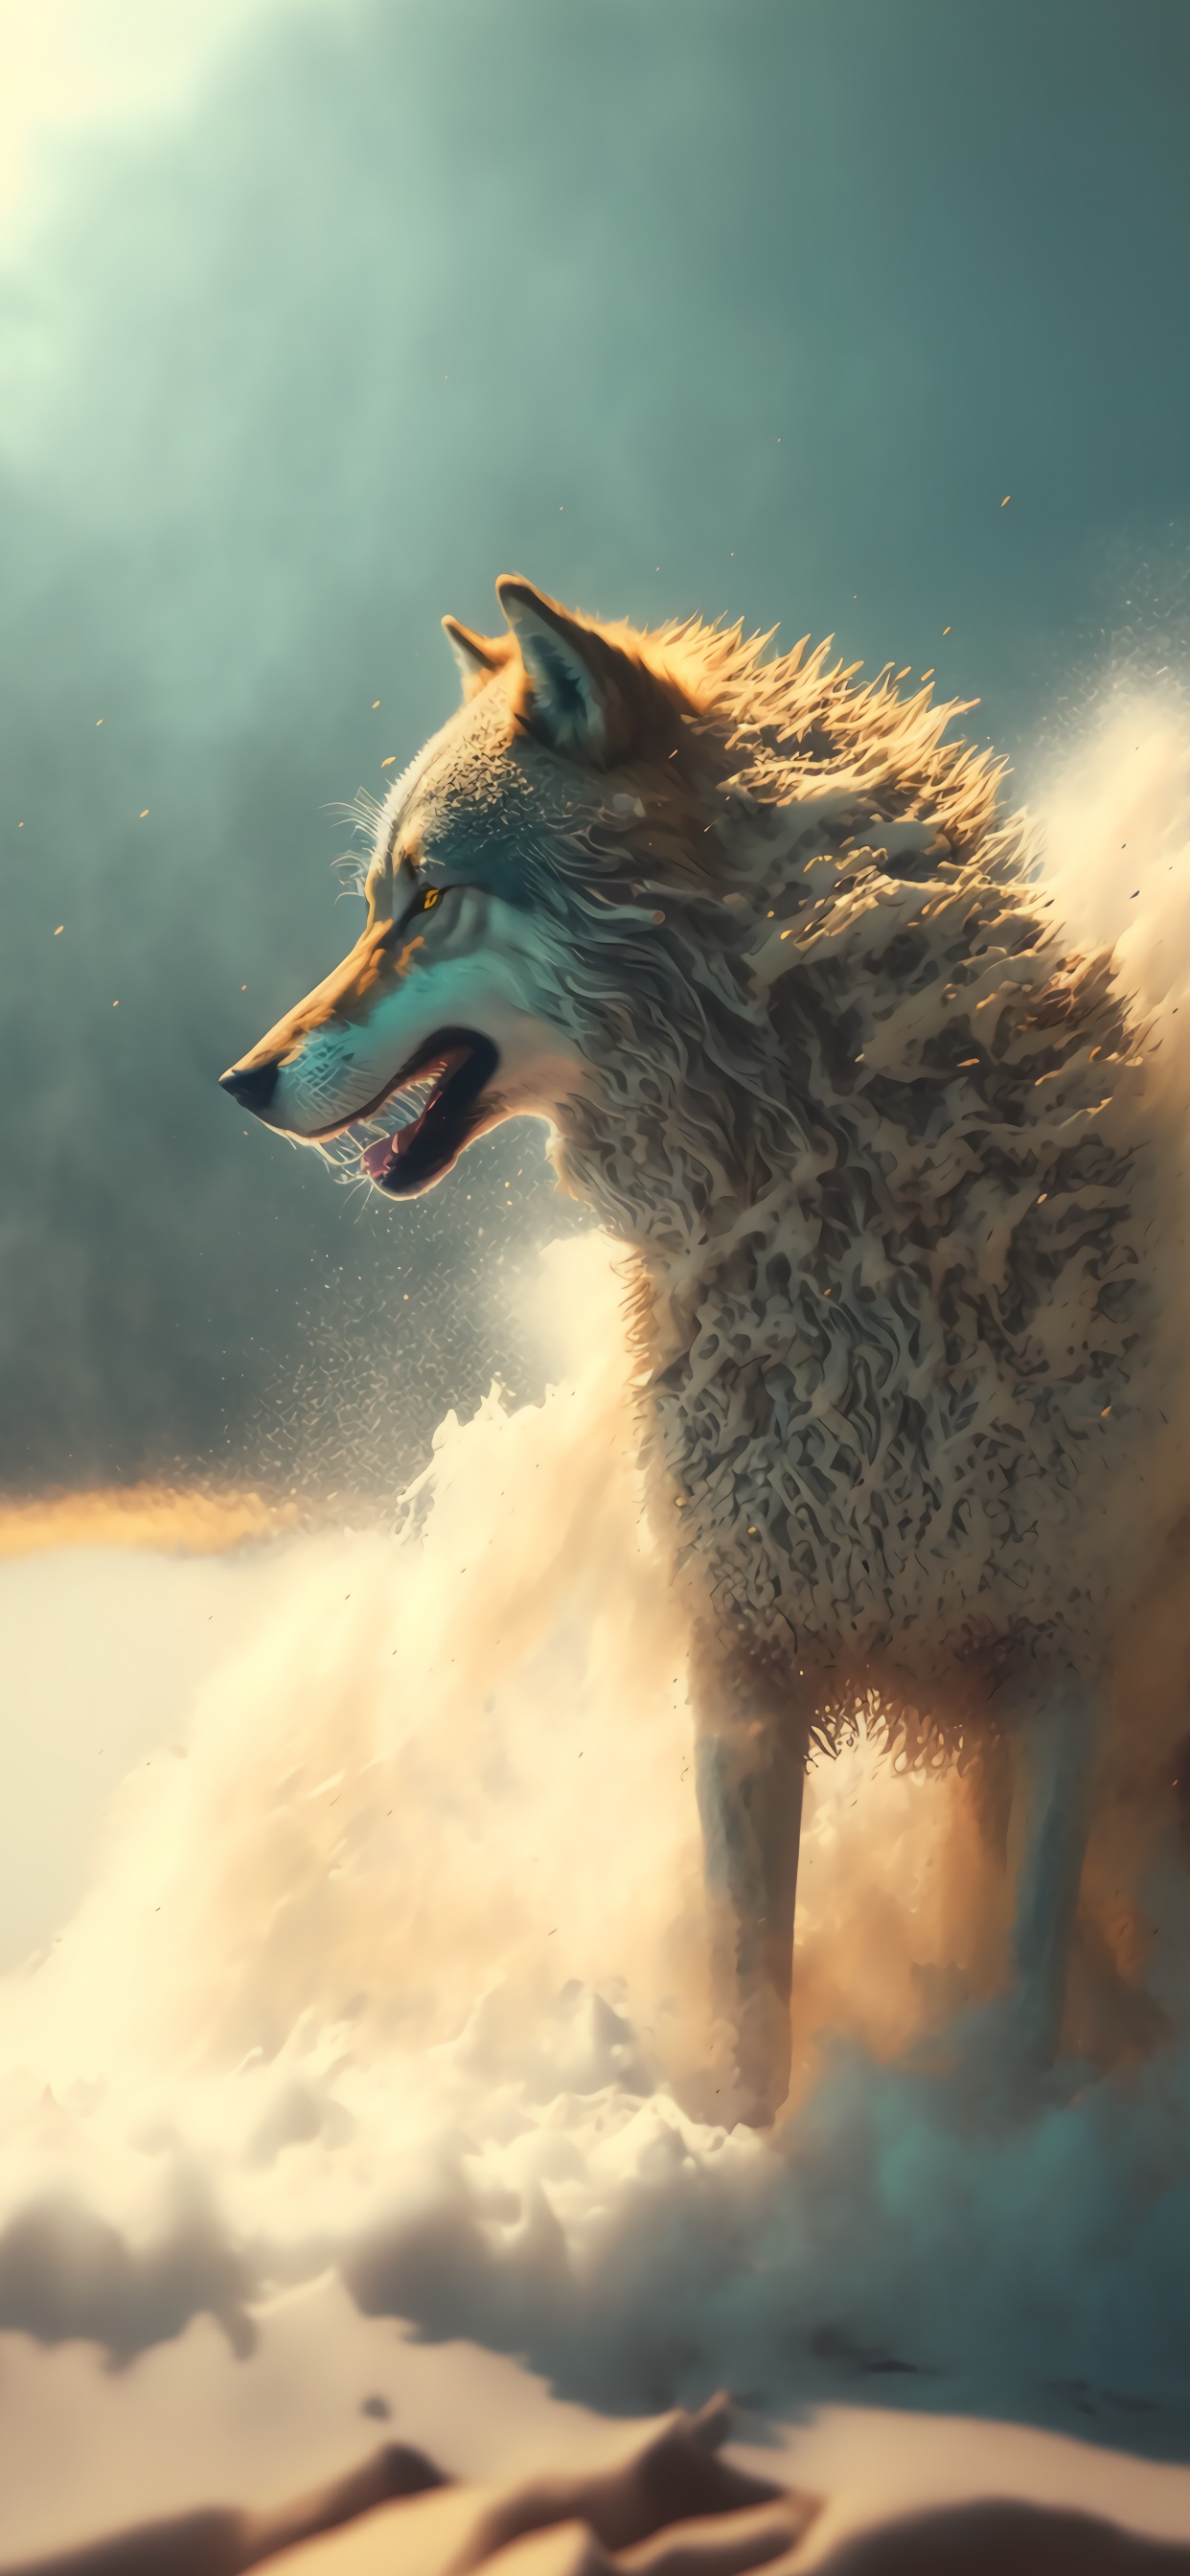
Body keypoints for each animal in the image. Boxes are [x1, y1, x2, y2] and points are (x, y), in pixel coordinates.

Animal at [221, 577, 1190, 2121]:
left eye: (427, 896)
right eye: (379, 899)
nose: (240, 1080)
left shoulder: (1059, 1649)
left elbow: (1028, 1982)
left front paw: (1003, 2129)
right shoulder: (743, 1657)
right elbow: (751, 1993)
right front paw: (750, 2147)